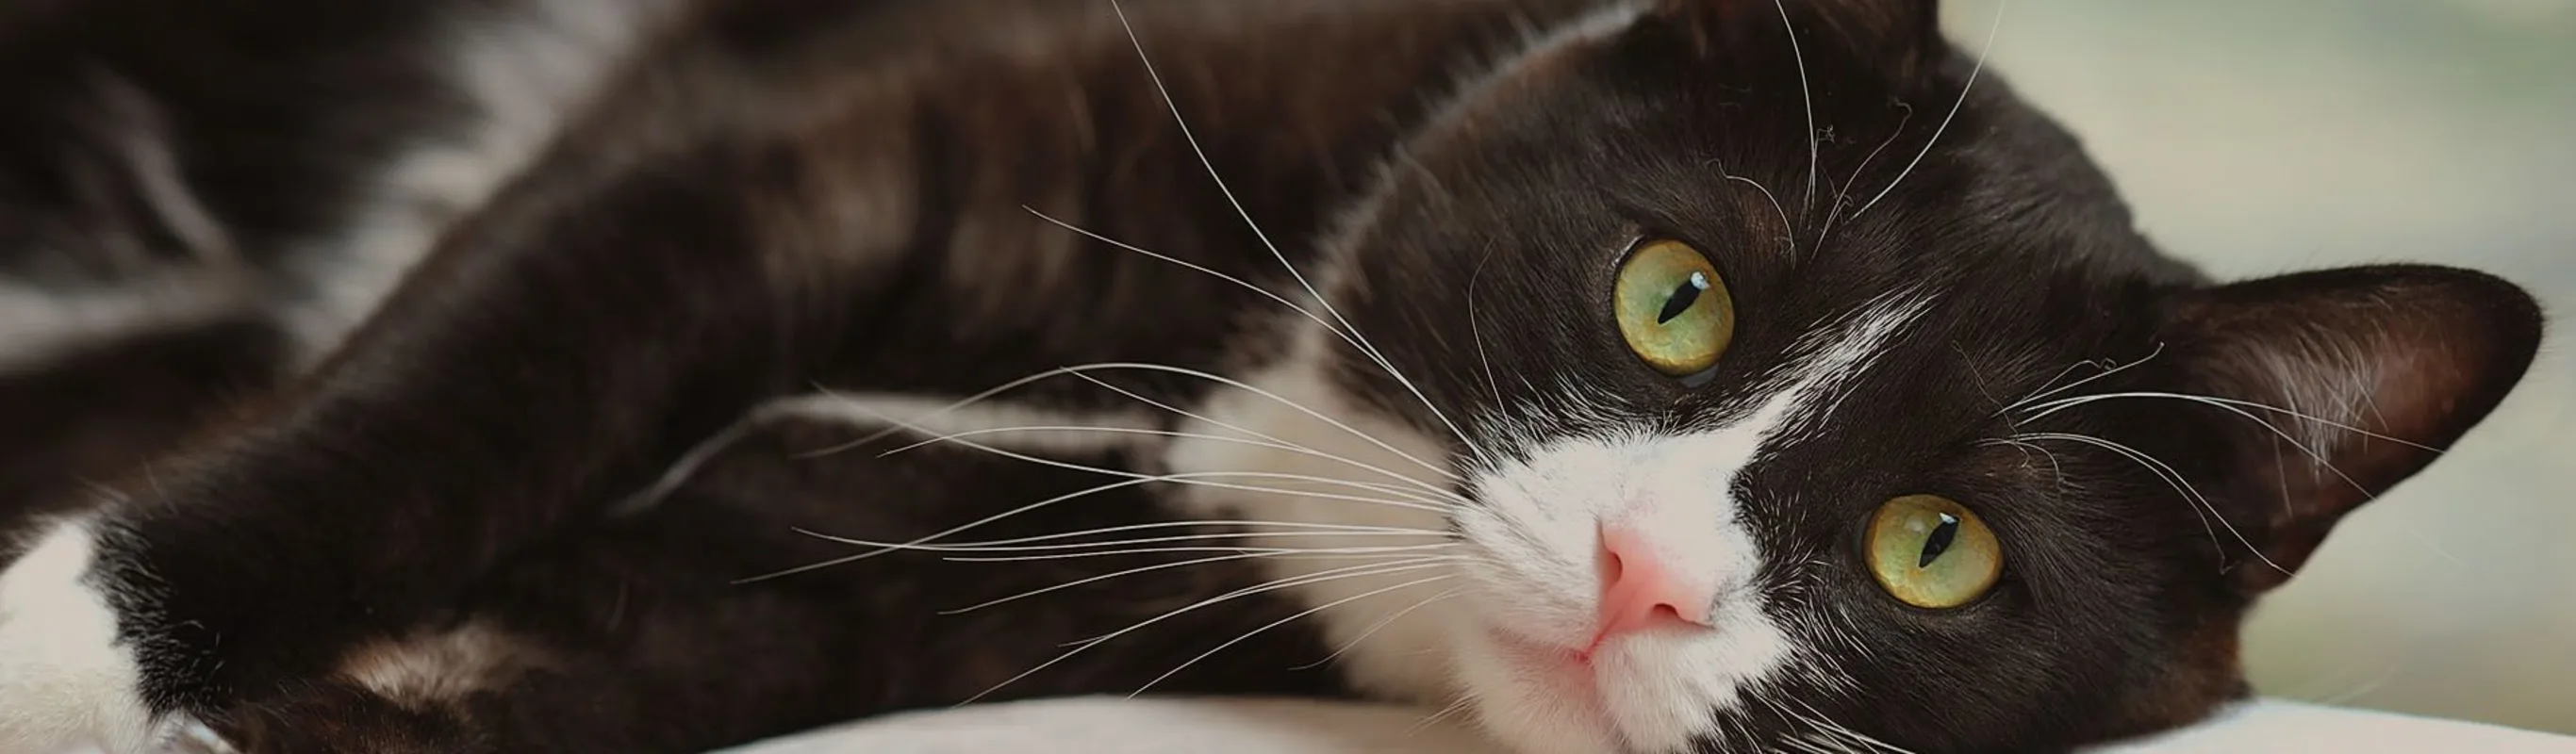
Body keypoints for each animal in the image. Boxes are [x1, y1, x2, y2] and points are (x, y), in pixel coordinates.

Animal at [0, 1, 2545, 751]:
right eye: (1673, 300)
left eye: (1938, 546)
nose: (1638, 576)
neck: (1279, 448)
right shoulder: (777, 150)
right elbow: (451, 403)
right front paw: (62, 643)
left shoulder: (879, 590)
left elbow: (541, 673)